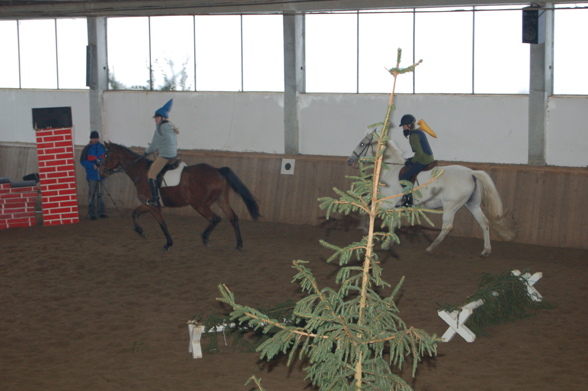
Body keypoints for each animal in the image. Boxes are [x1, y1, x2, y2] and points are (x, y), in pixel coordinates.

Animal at [99, 142, 260, 250]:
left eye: (106, 155)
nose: (100, 171)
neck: (141, 172)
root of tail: (218, 170)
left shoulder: (152, 206)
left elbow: (162, 224)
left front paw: (168, 243)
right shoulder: (147, 204)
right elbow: (134, 213)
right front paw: (141, 232)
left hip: (199, 205)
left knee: (216, 218)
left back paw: (205, 238)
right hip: (221, 200)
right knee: (233, 218)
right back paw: (239, 244)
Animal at [346, 133, 516, 258]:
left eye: (362, 144)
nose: (350, 161)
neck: (391, 170)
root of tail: (471, 173)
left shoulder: (388, 204)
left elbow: (373, 214)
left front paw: (369, 232)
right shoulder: (395, 206)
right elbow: (393, 223)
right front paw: (388, 242)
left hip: (450, 206)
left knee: (447, 227)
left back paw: (431, 248)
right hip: (472, 204)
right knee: (484, 223)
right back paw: (486, 250)